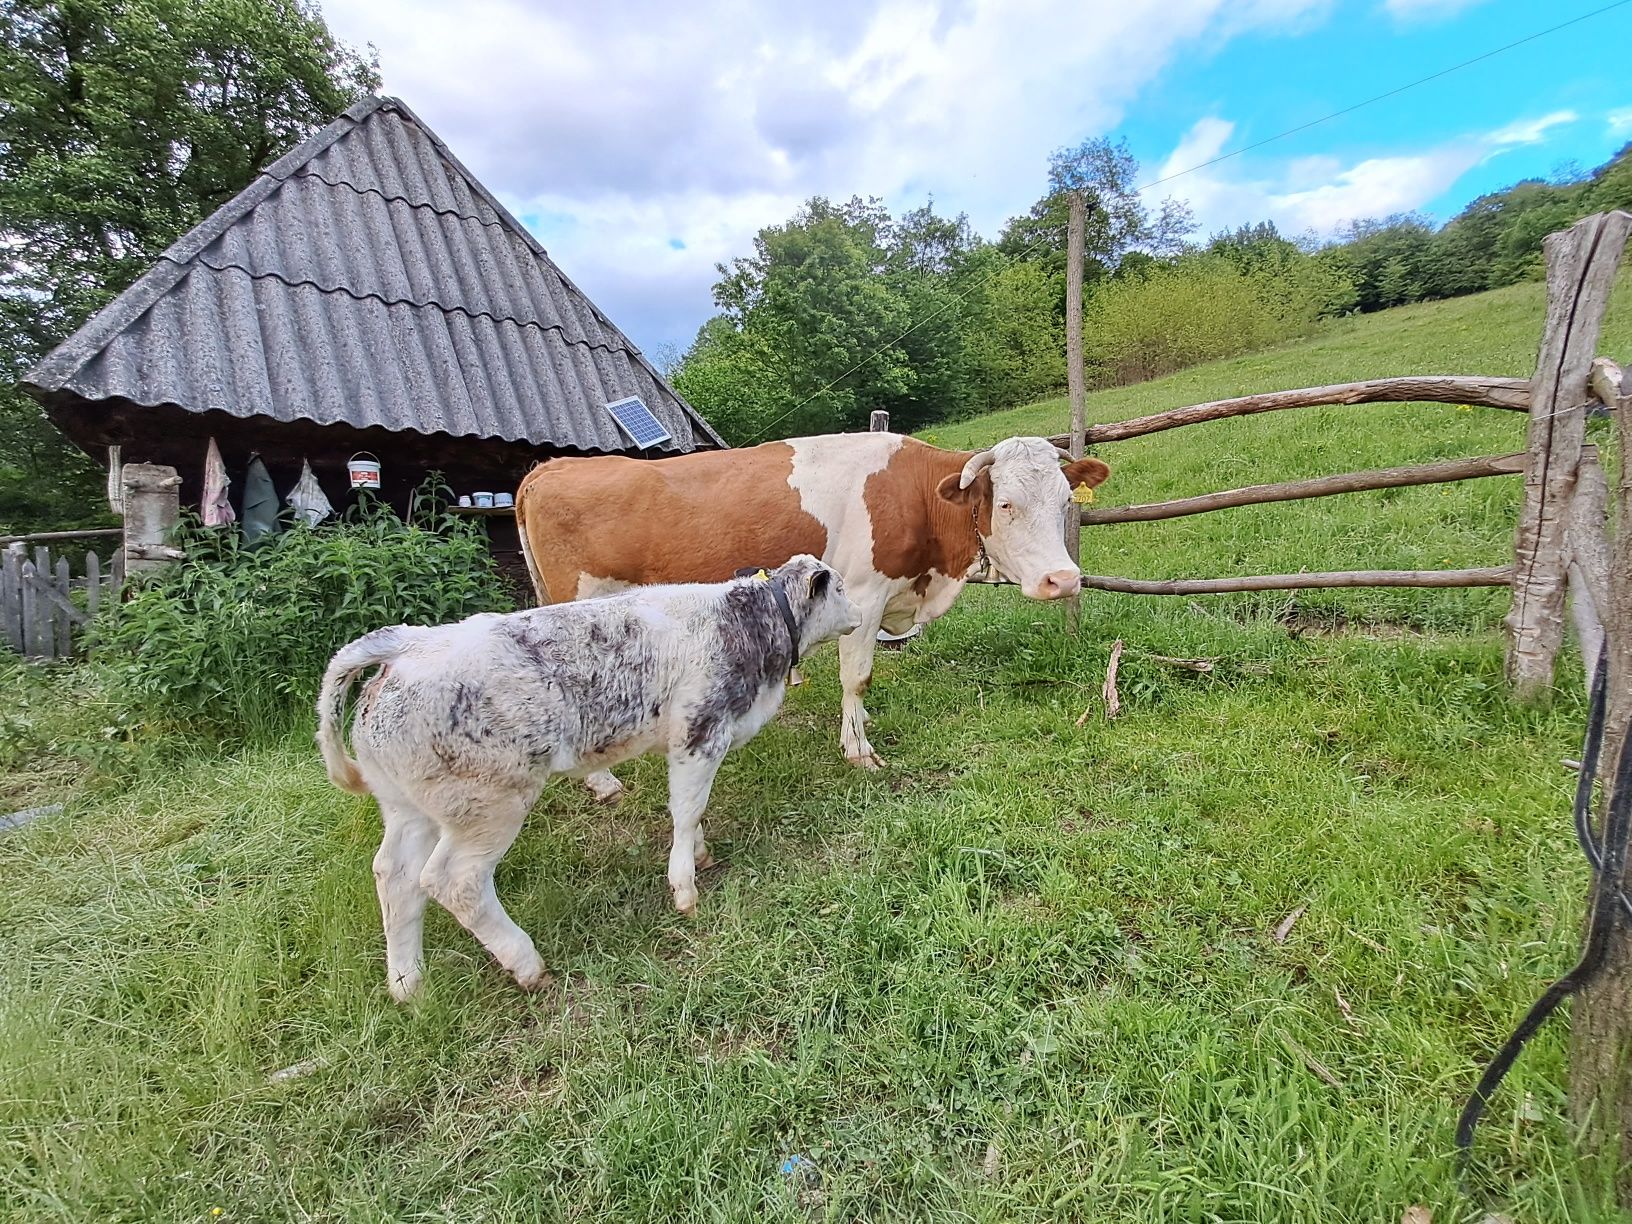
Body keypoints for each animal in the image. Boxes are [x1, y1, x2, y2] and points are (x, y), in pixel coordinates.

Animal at [518, 430, 1109, 776]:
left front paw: (861, 724)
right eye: (1004, 504)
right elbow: (857, 675)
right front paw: (858, 749)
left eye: (1064, 501)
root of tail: (552, 467)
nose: (1062, 580)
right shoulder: (864, 594)